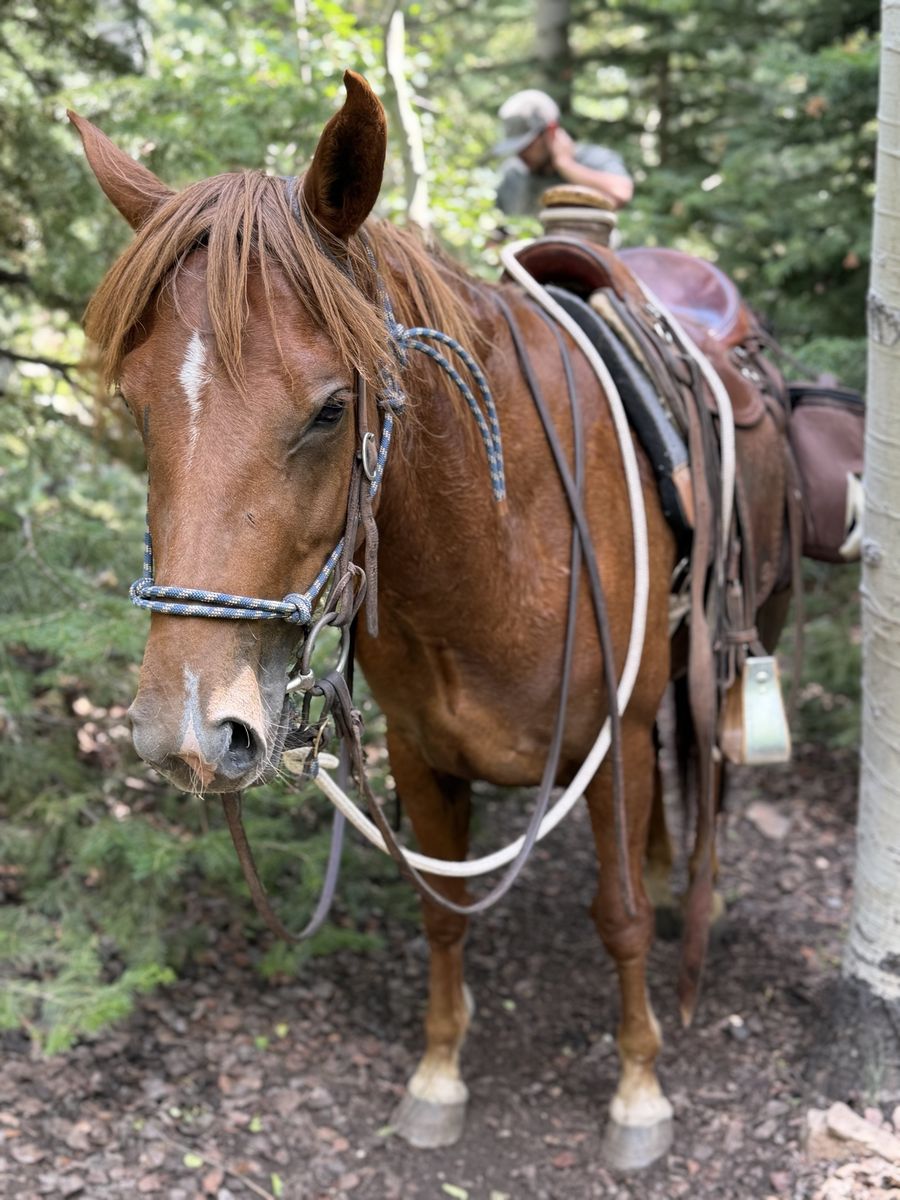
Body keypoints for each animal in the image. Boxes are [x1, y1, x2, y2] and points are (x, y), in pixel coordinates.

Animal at [70, 70, 793, 1171]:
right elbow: (441, 915)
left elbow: (619, 915)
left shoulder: (613, 744)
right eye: (137, 404)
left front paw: (639, 1090)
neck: (497, 547)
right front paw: (438, 1074)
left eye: (331, 409)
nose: (185, 728)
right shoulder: (419, 753)